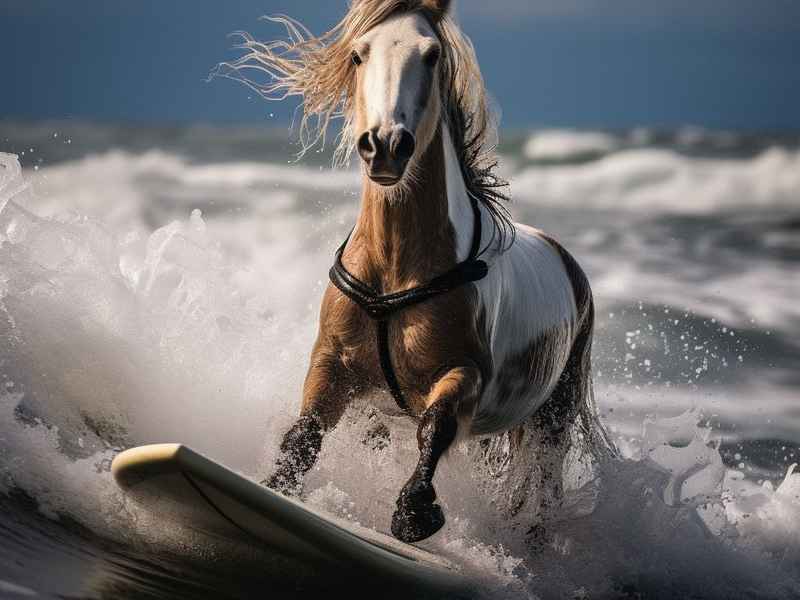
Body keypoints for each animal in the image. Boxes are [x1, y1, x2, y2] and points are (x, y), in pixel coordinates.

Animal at [217, 0, 610, 543]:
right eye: (359, 53)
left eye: (431, 54)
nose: (385, 145)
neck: (393, 269)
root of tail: (567, 261)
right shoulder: (331, 363)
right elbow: (305, 433)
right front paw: (276, 485)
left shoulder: (465, 374)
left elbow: (436, 426)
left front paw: (414, 511)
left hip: (551, 418)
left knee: (541, 488)